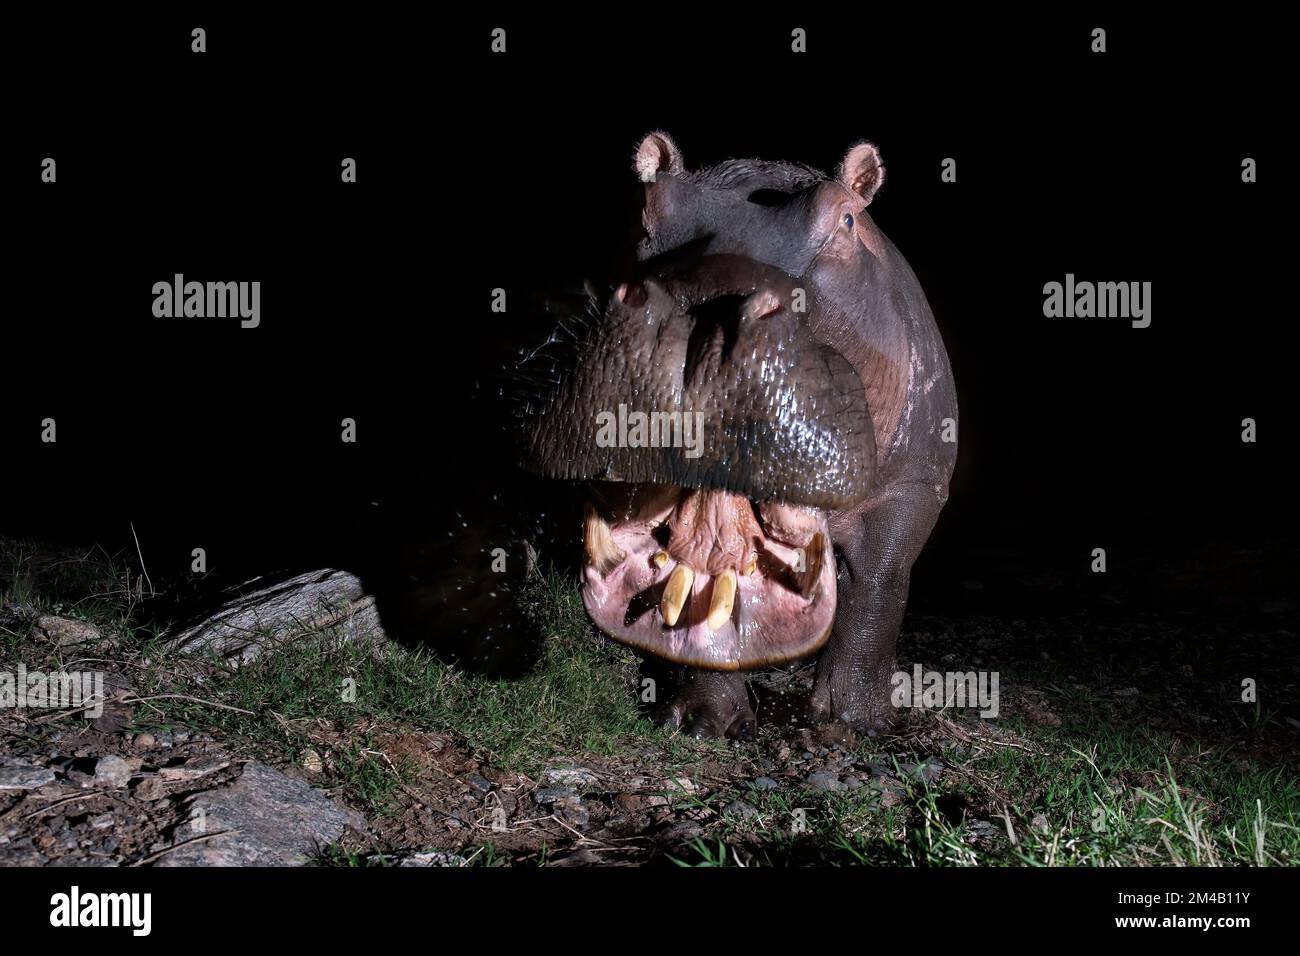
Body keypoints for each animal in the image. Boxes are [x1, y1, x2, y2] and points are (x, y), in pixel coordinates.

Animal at [517, 132, 956, 738]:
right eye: (644, 207)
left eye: (846, 219)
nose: (698, 319)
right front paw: (705, 721)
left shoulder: (914, 484)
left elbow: (879, 586)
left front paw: (857, 723)